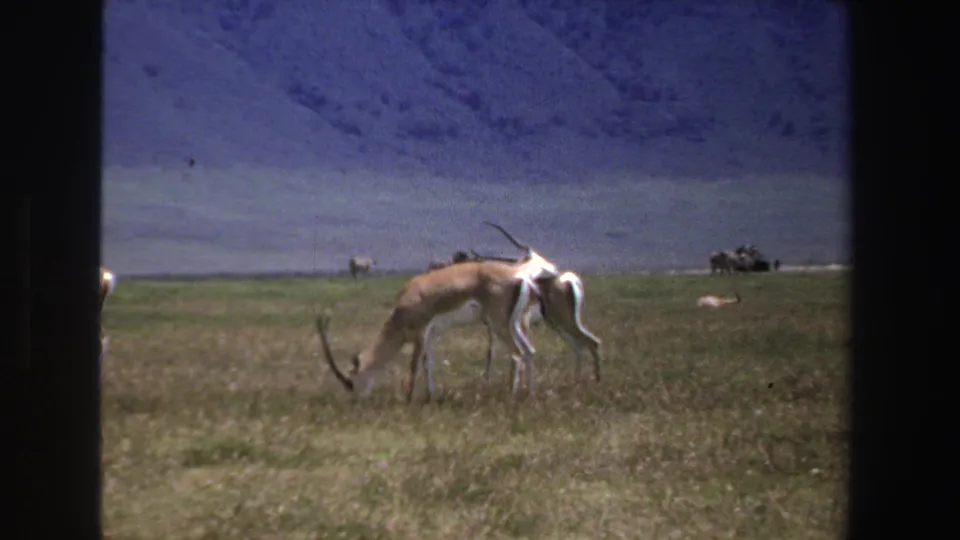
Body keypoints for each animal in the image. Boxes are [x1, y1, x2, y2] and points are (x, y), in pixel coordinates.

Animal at [316, 259, 544, 403]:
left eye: (350, 381)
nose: (356, 401)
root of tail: (520, 276)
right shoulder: (430, 336)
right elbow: (429, 364)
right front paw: (428, 397)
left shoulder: (419, 333)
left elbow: (414, 366)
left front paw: (408, 399)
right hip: (515, 323)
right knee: (529, 351)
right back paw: (530, 397)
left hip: (499, 324)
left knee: (517, 354)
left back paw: (513, 397)